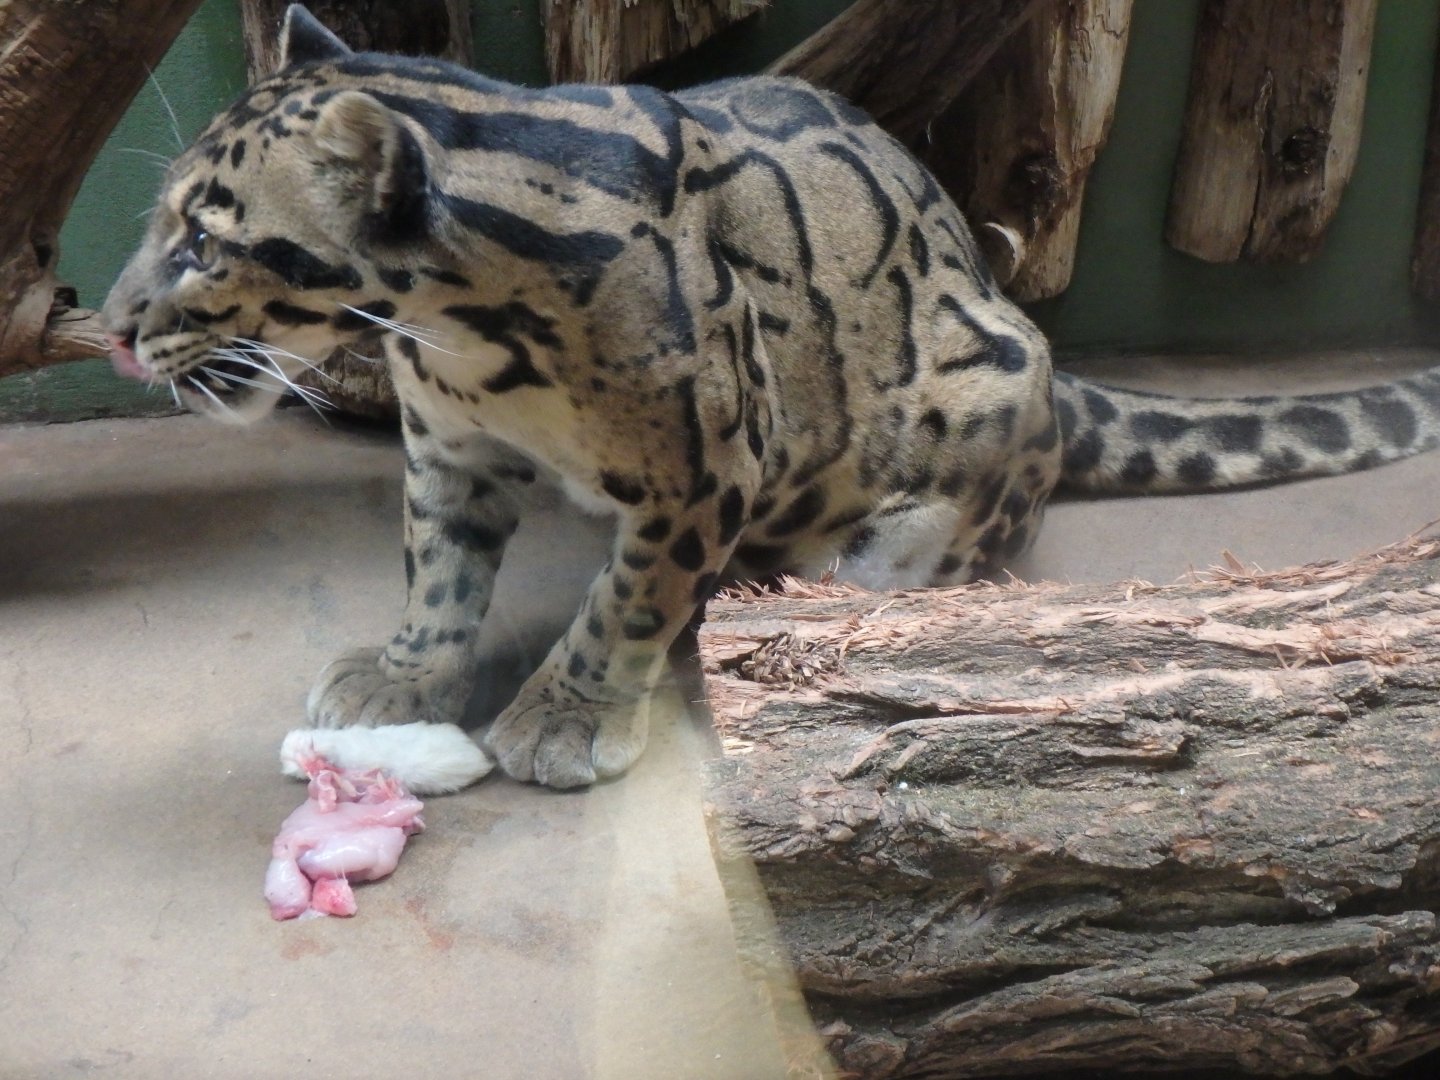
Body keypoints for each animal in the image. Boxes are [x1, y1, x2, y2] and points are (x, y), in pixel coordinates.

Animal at [102, 4, 1440, 793]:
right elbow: (438, 573)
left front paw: (567, 715)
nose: (111, 328)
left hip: (974, 416)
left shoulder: (704, 468)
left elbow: (627, 600)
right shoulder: (447, 452)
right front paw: (407, 674)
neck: (461, 340)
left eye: (203, 240)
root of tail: (1048, 362)